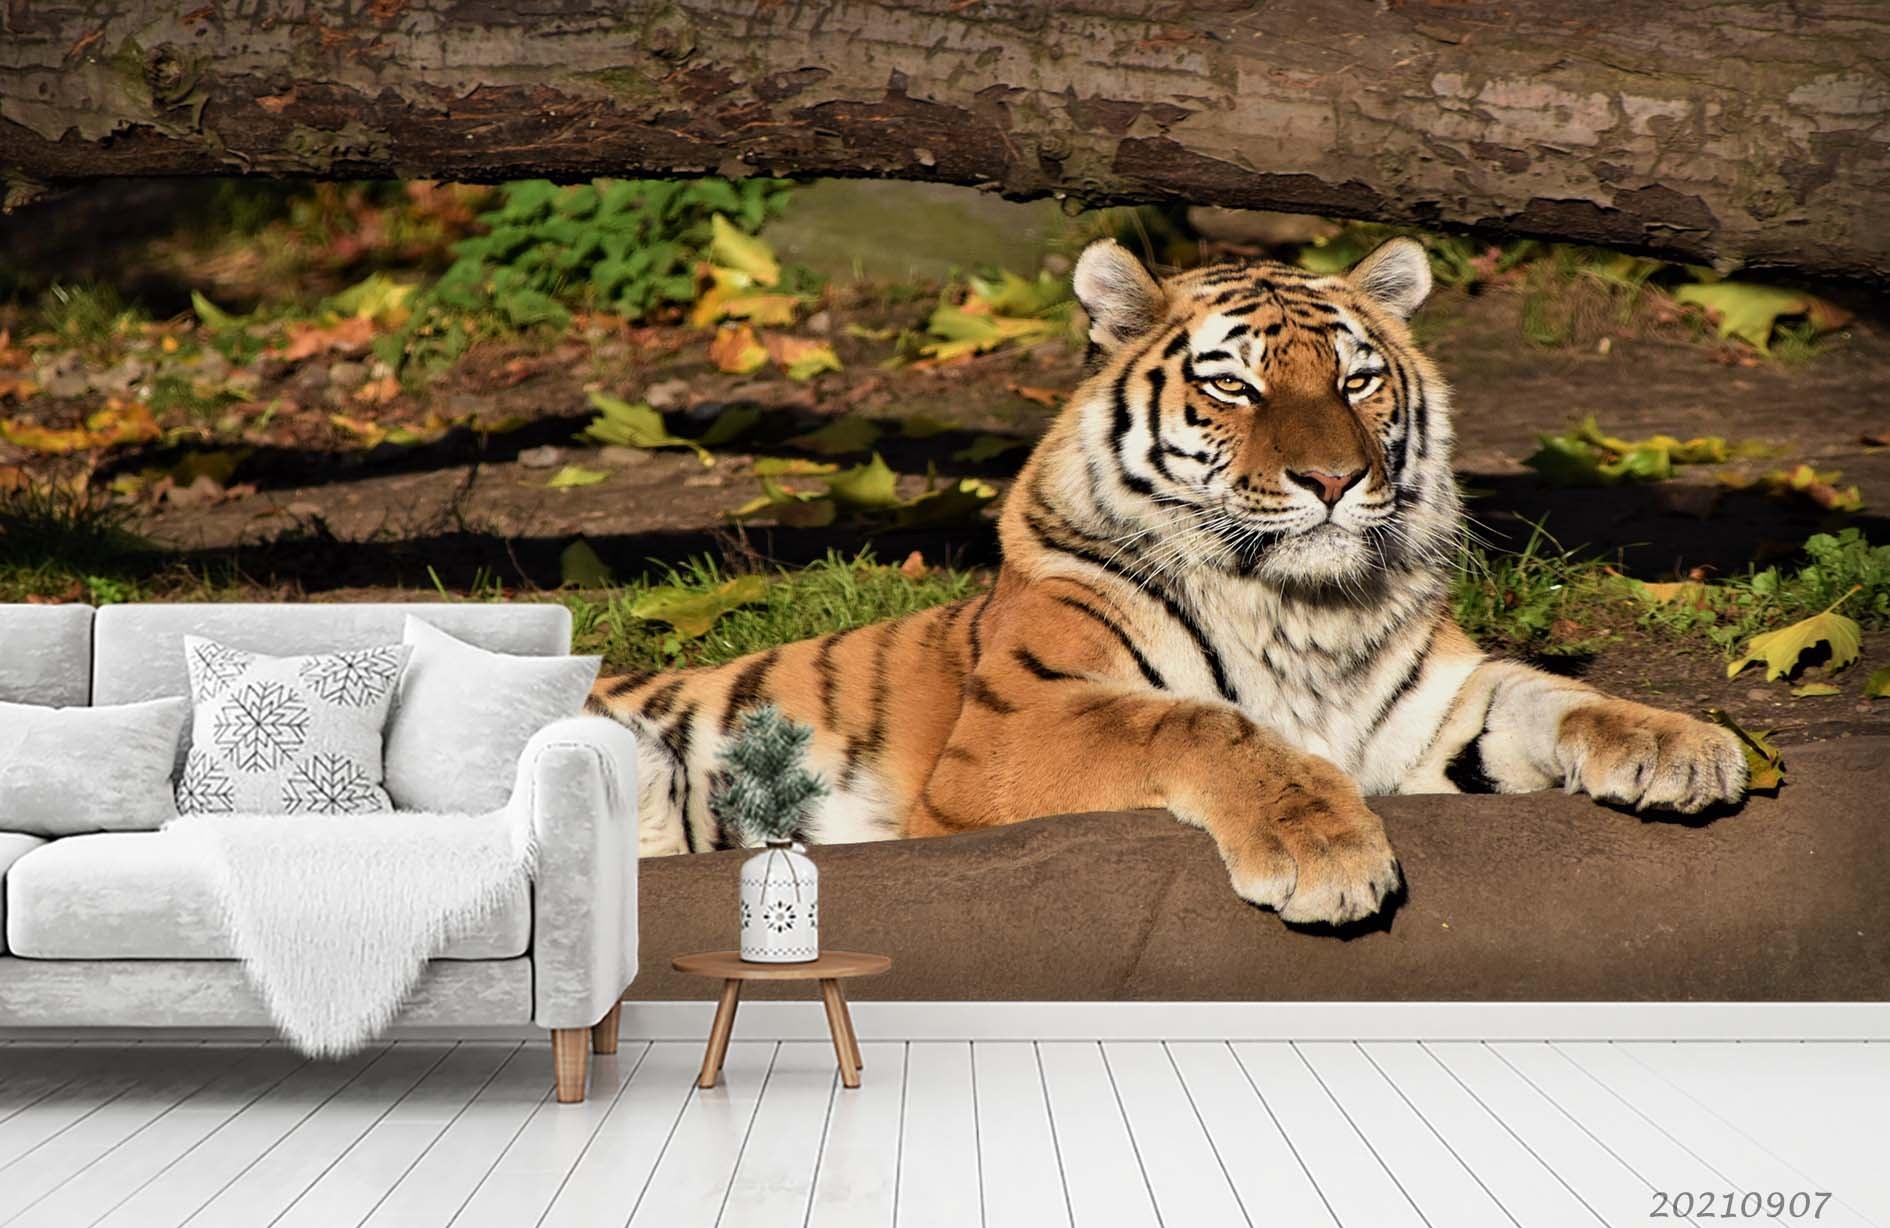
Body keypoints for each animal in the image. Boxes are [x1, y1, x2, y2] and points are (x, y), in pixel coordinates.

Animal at [589, 236, 1748, 926]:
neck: (1303, 607)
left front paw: (1682, 746)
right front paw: (1324, 846)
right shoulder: (1015, 725)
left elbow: (1558, 693)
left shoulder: (1434, 713)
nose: (1334, 480)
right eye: (1234, 386)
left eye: (1358, 380)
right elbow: (1196, 722)